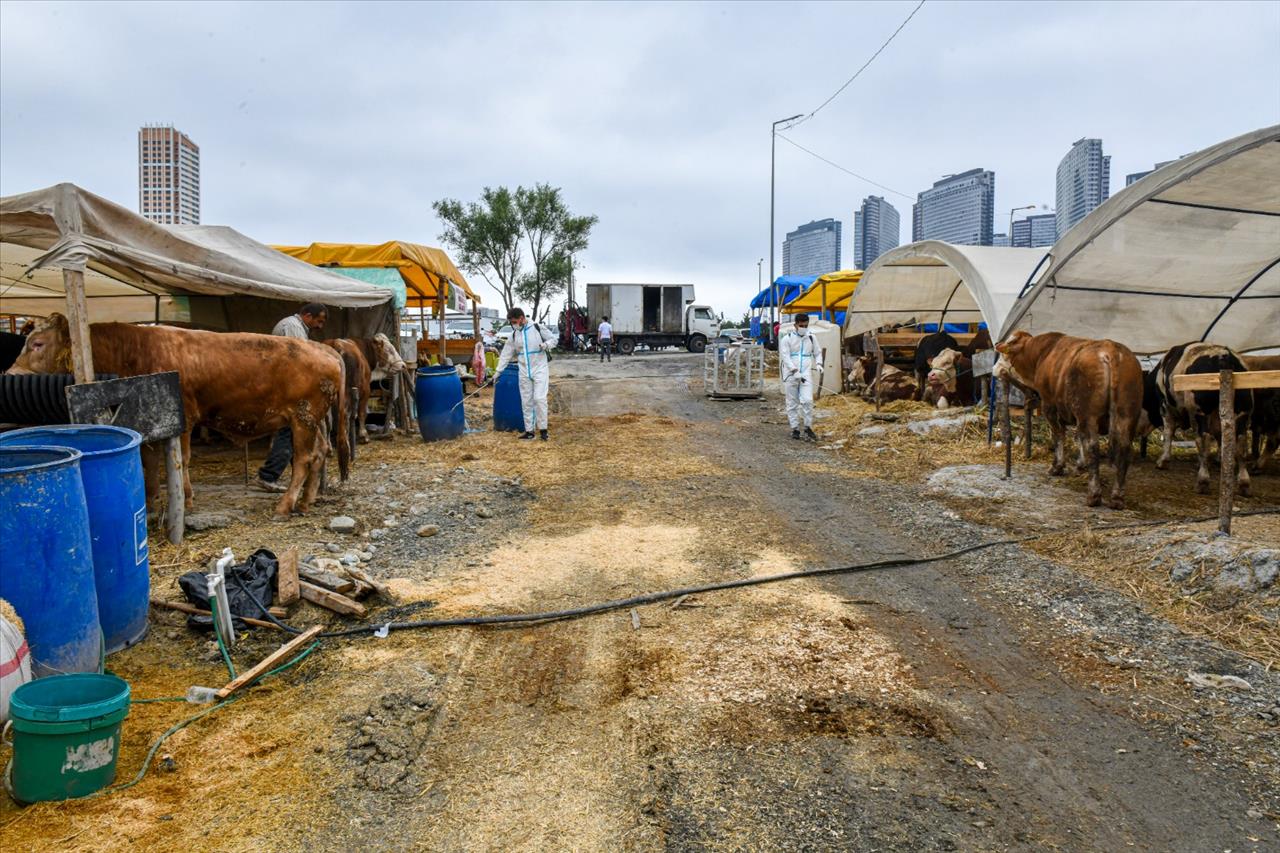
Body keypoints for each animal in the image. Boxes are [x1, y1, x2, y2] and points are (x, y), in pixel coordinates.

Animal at [7, 311, 350, 514]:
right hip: (313, 420)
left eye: (37, 343)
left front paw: (185, 498)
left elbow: (180, 459)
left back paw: (286, 503)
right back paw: (306, 501)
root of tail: (324, 348)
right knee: (320, 453)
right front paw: (151, 500)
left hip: (303, 418)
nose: (10, 374)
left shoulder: (184, 416)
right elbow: (149, 462)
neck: (135, 351)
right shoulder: (148, 423)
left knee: (305, 458)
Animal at [993, 330, 1146, 504]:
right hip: (1127, 414)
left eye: (1004, 353)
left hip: (1088, 414)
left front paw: (1057, 466)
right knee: (1124, 448)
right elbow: (1078, 437)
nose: (995, 368)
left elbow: (1059, 435)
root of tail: (1111, 350)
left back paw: (1094, 495)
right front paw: (1080, 464)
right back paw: (1117, 497)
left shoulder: (1050, 405)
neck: (1042, 353)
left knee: (1093, 447)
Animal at [1157, 343, 1254, 494]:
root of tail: (1224, 355)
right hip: (1243, 410)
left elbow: (1168, 432)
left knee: (1203, 439)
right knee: (1241, 441)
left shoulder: (1165, 407)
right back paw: (1244, 483)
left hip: (1200, 410)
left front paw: (1163, 461)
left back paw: (1202, 480)